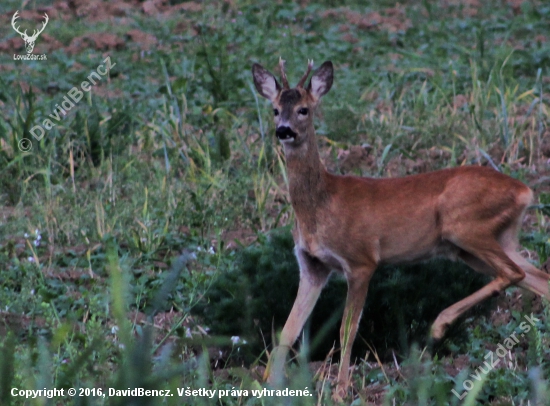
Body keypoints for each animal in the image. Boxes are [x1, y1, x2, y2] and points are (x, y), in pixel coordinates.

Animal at [253, 58, 550, 402]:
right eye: (275, 109)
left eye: (303, 109)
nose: (284, 130)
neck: (321, 205)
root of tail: (524, 191)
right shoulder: (312, 266)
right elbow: (287, 332)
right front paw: (266, 385)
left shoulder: (361, 260)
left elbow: (347, 330)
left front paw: (340, 391)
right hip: (486, 242)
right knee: (538, 277)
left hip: (464, 225)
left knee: (513, 272)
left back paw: (439, 325)